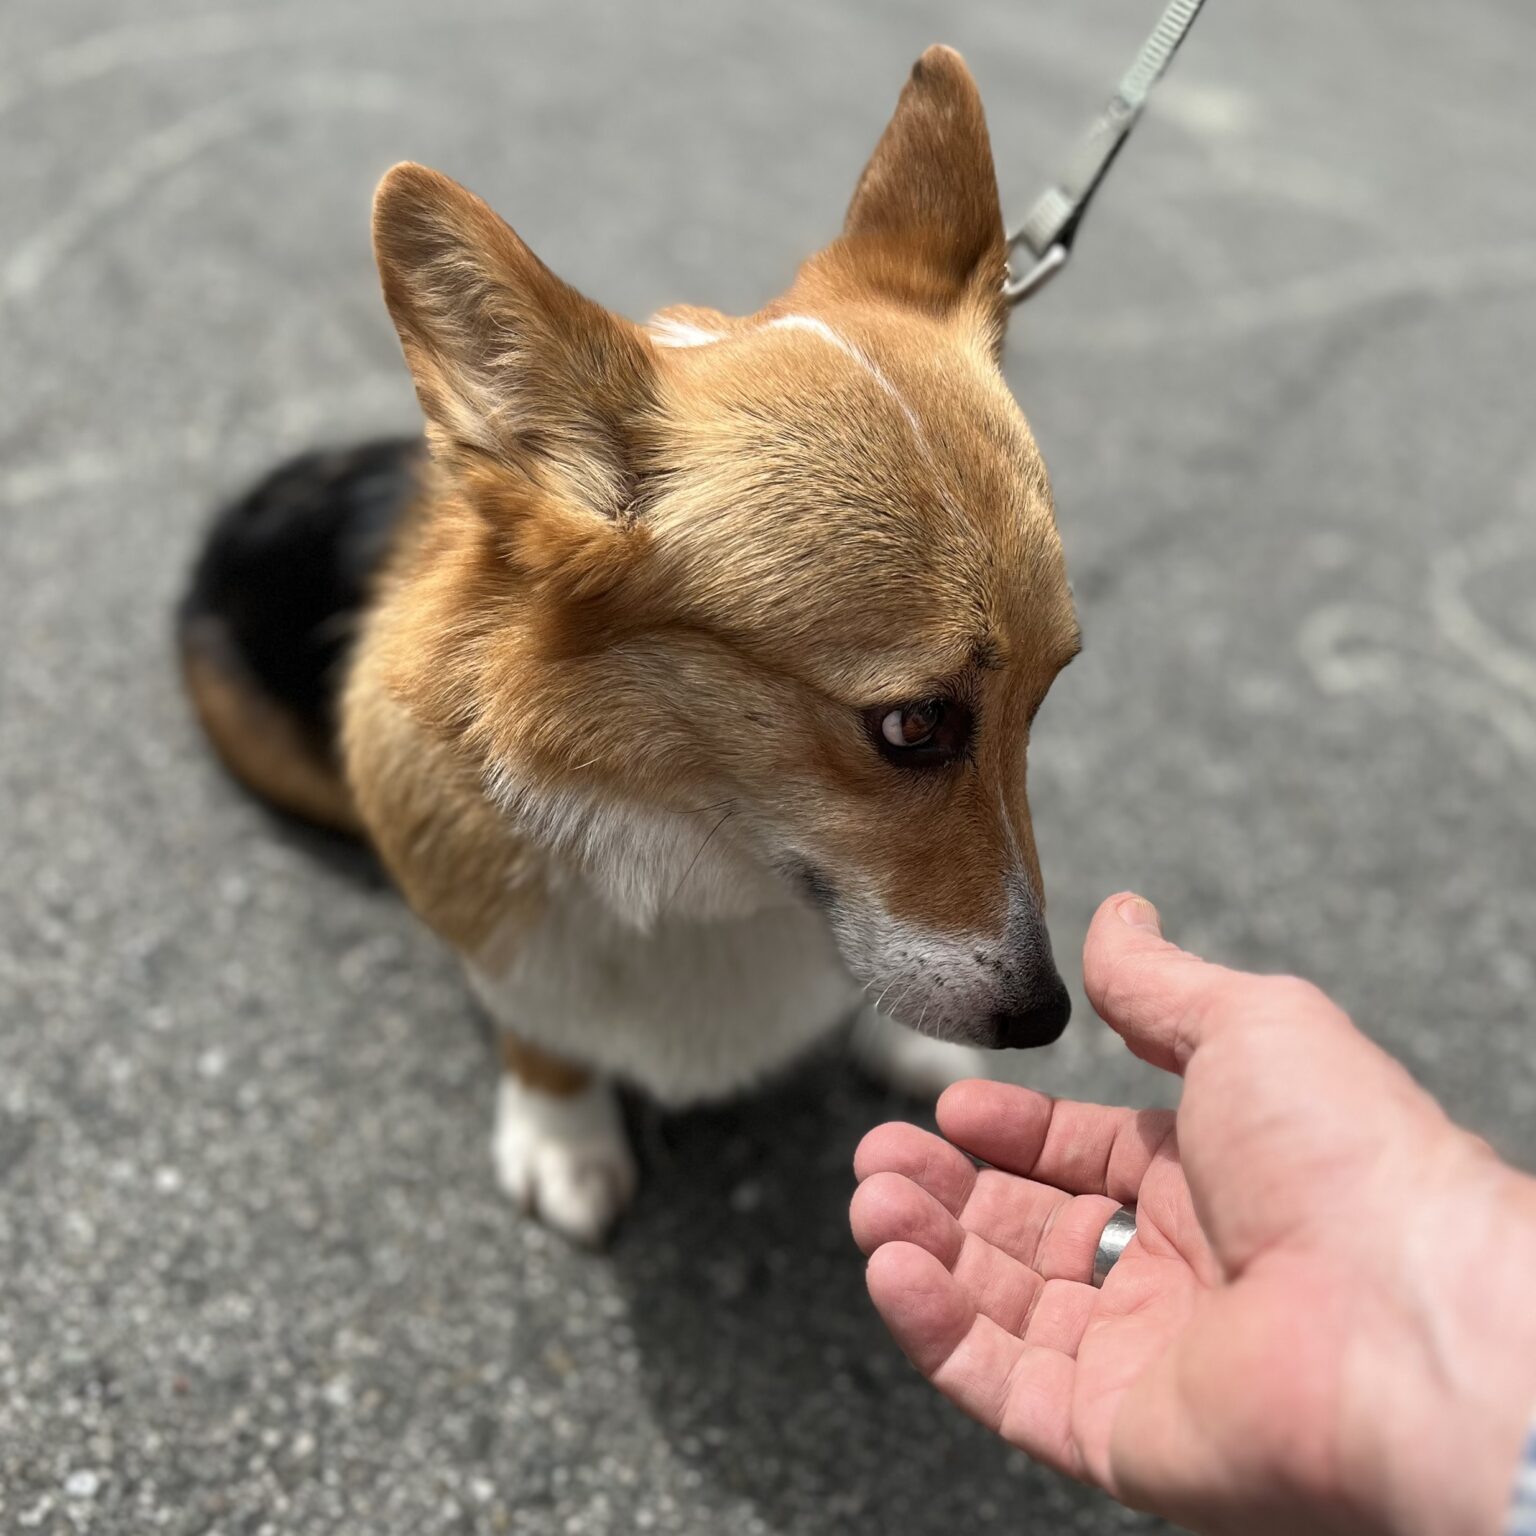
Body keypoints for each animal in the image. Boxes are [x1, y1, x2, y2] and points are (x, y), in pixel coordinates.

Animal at [179, 51, 1081, 1247]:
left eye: (1048, 695)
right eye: (911, 725)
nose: (1046, 1017)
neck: (700, 849)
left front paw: (908, 1042)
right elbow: (540, 1026)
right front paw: (565, 1140)